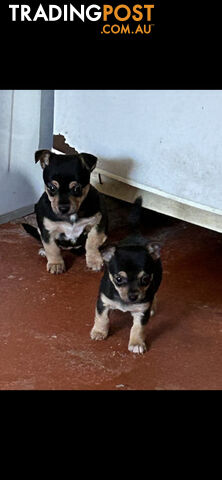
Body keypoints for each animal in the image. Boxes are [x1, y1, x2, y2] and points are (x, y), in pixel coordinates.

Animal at [90, 197, 163, 354]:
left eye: (145, 279)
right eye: (118, 279)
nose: (133, 296)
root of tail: (136, 234)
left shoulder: (141, 312)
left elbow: (138, 328)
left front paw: (136, 343)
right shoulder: (103, 302)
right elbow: (101, 318)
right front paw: (99, 332)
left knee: (154, 294)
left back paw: (152, 307)